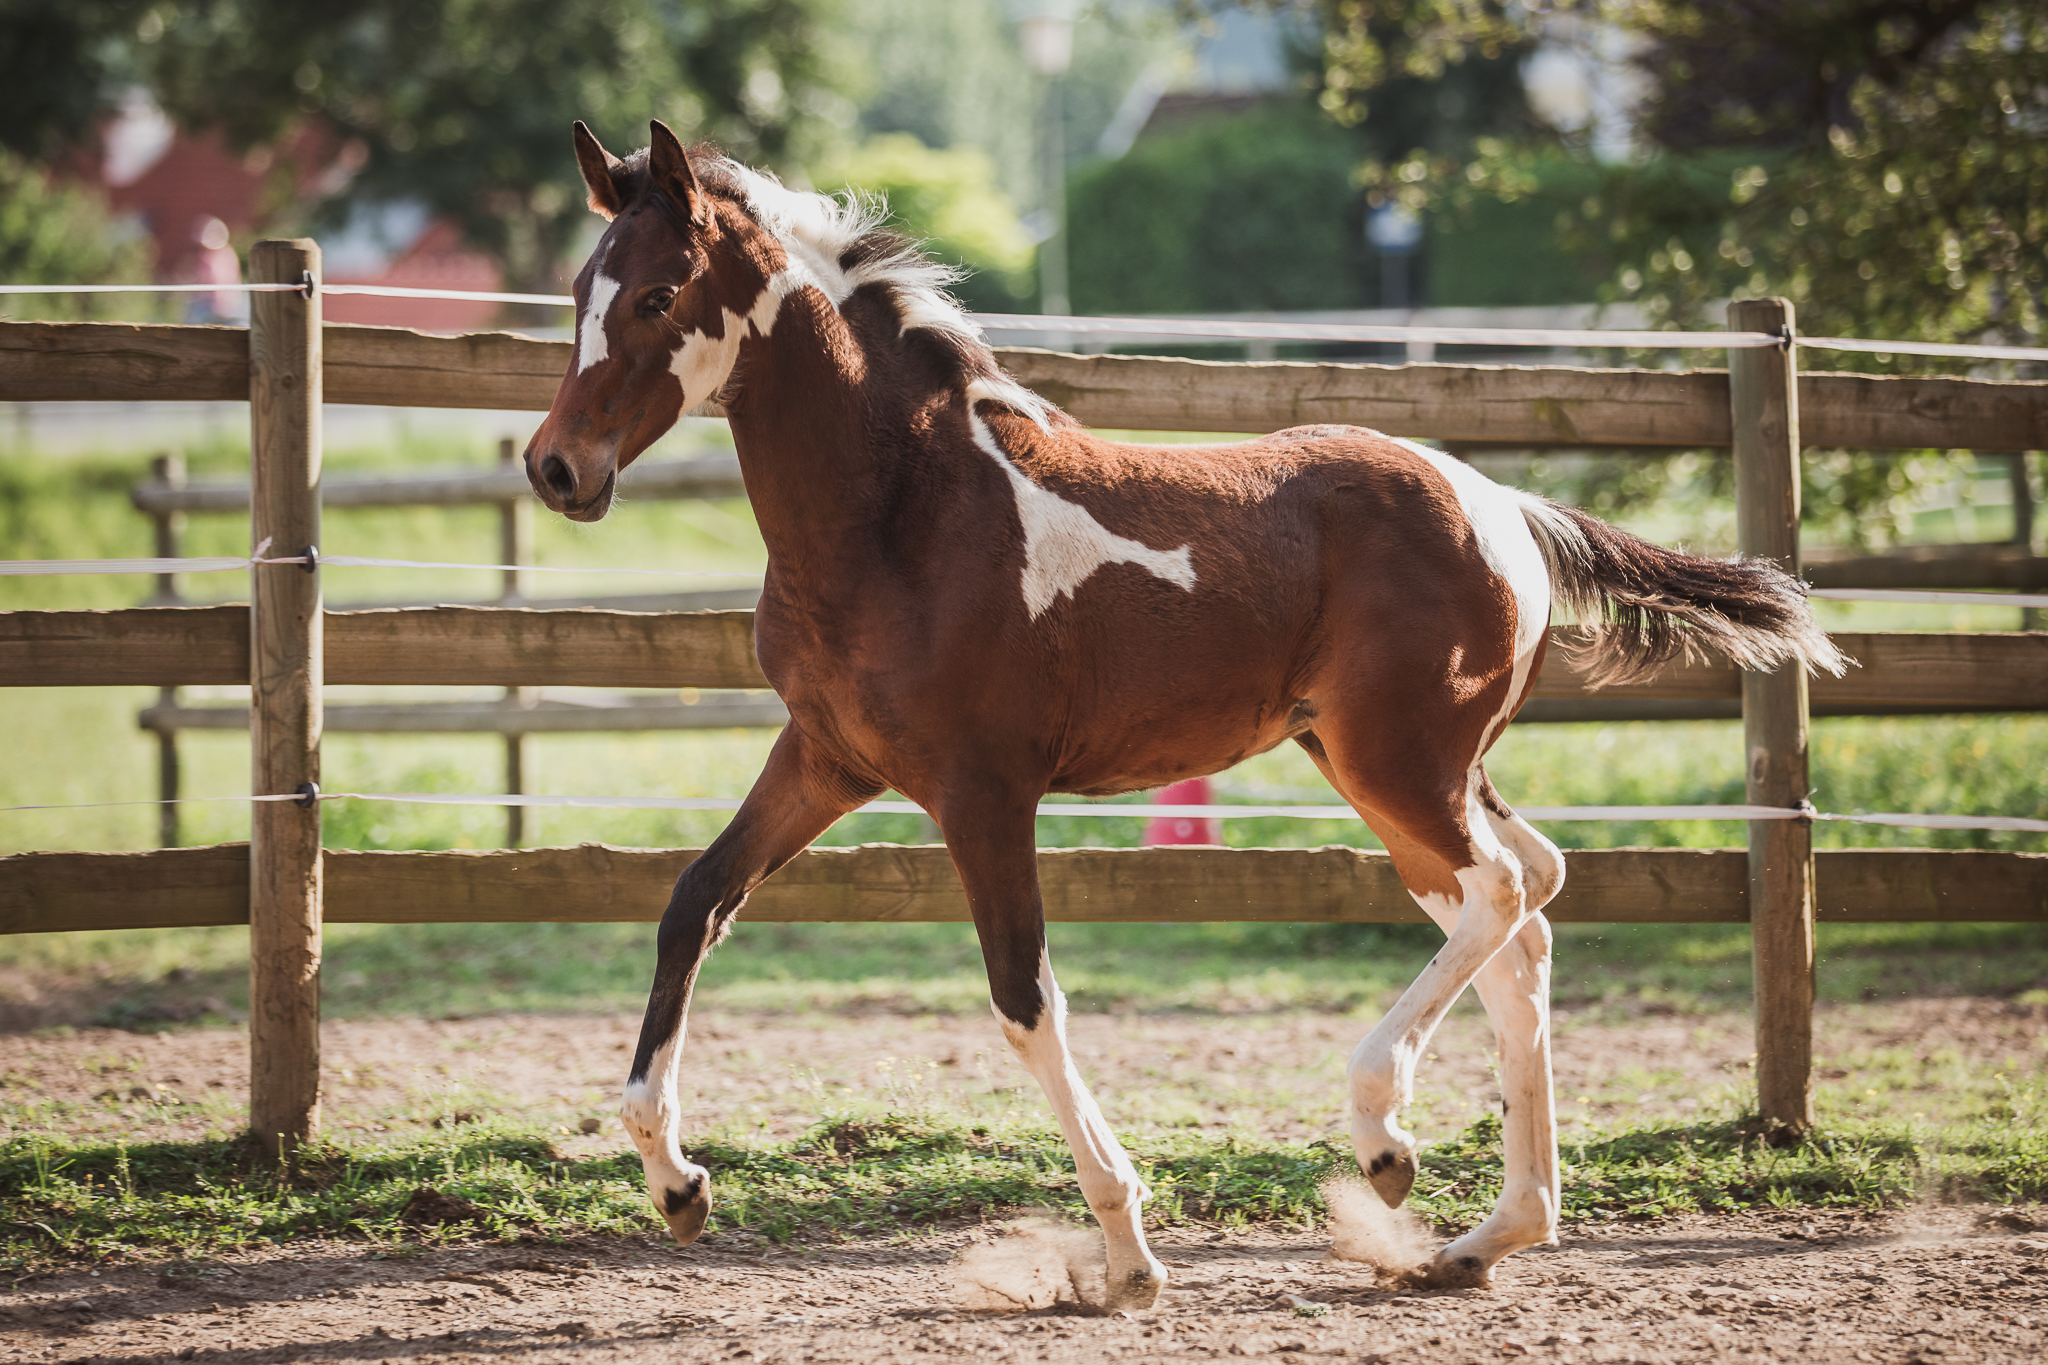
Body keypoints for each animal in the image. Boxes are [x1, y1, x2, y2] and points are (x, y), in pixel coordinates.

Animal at [520, 122, 1851, 1309]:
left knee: (1500, 892)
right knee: (1524, 912)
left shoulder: (980, 791)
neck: (901, 516)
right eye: (579, 292)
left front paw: (1125, 1256)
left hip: (1396, 762)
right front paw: (676, 1182)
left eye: (655, 297)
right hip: (1404, 764)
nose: (555, 468)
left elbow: (1025, 998)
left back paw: (1384, 1138)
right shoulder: (825, 760)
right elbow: (695, 902)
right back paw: (1483, 1238)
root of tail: (1504, 504)